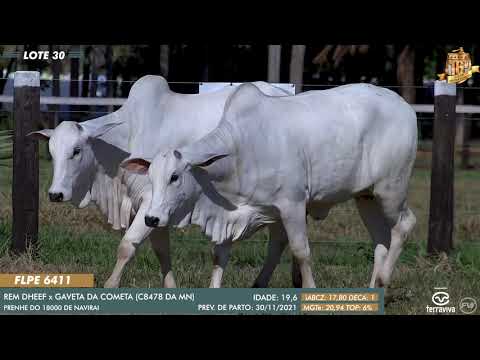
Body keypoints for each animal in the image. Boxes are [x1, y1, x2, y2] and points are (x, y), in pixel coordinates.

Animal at [31, 75, 292, 286]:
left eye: (76, 151)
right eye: (51, 152)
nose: (55, 194)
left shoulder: (150, 201)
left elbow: (127, 246)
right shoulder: (155, 212)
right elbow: (162, 252)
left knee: (277, 242)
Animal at [126, 82, 416, 290]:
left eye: (174, 177)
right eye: (150, 176)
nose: (151, 219)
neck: (240, 149)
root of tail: (405, 107)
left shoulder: (293, 204)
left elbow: (301, 251)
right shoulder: (235, 212)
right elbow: (221, 254)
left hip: (391, 189)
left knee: (404, 225)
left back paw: (383, 280)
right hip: (366, 197)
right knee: (381, 239)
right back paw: (374, 289)